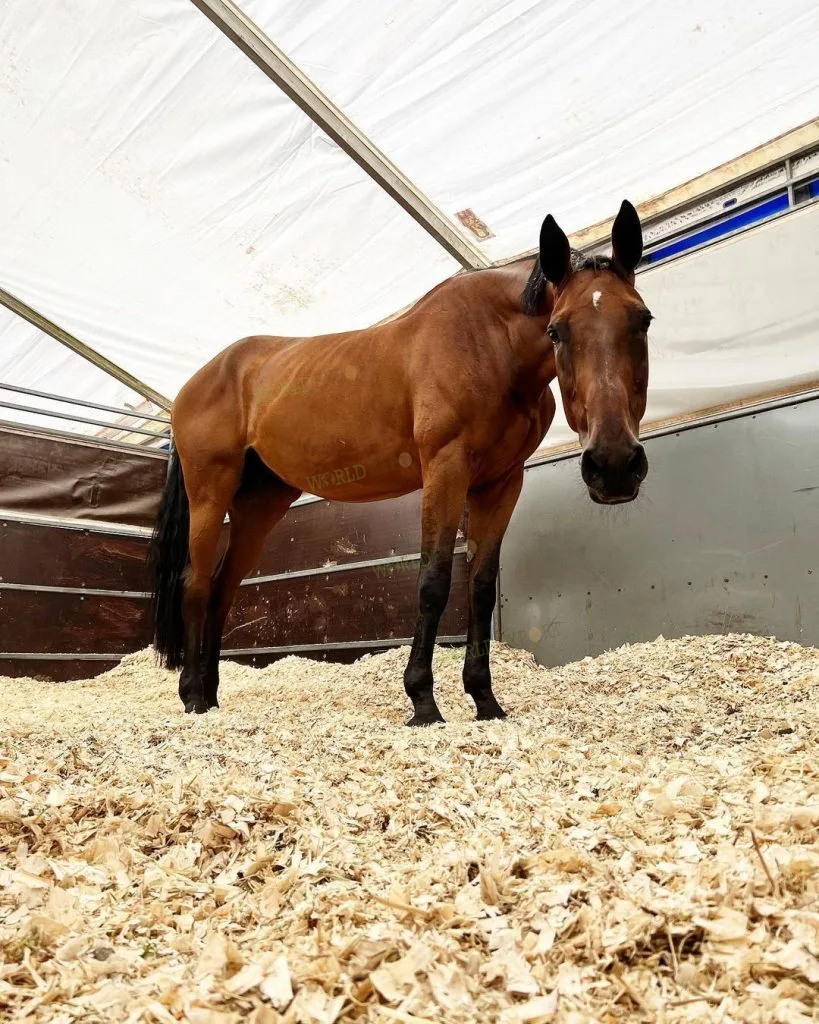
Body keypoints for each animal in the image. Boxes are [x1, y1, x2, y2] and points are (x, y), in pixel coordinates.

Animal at [149, 201, 651, 724]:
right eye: (557, 330)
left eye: (643, 320)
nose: (614, 463)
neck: (489, 341)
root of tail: (196, 384)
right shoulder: (445, 470)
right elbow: (433, 580)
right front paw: (423, 702)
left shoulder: (500, 483)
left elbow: (480, 586)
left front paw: (485, 701)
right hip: (210, 494)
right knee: (196, 585)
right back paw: (192, 697)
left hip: (259, 505)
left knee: (223, 590)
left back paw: (210, 698)